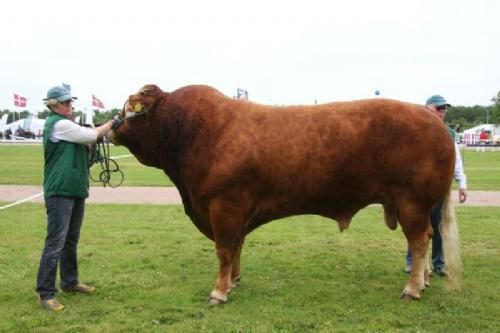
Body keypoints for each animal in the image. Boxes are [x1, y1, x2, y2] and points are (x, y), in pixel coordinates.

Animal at [108, 83, 460, 304]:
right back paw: (424, 280)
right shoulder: (235, 212)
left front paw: (219, 292)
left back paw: (412, 289)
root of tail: (435, 121)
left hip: (411, 201)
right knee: (425, 239)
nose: (110, 128)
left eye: (129, 108)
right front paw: (232, 282)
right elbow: (236, 248)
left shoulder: (224, 206)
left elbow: (225, 250)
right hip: (415, 204)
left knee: (419, 241)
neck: (190, 131)